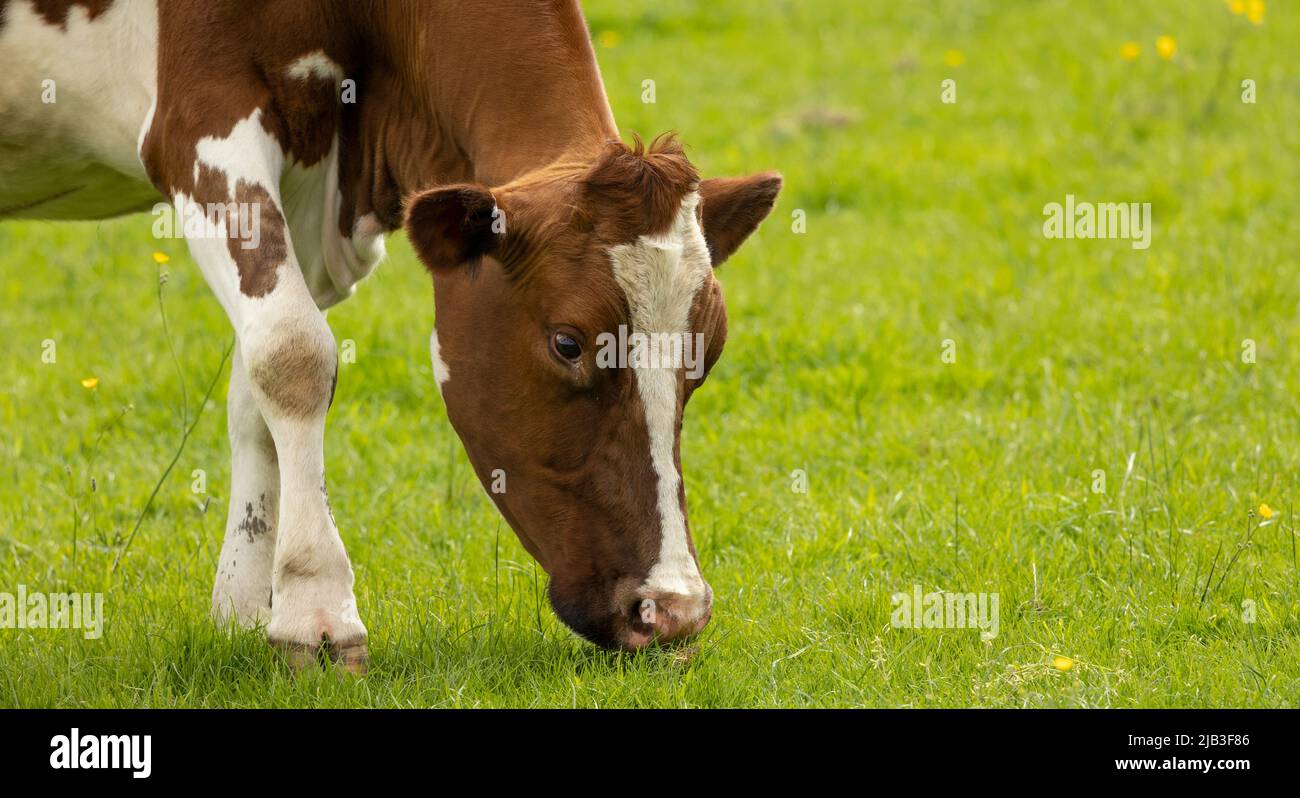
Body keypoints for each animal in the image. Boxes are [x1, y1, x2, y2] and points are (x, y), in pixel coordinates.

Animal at [0, 0, 781, 671]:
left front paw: (247, 606)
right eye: (568, 343)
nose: (673, 611)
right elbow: (293, 352)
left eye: (709, 352)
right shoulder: (200, 119)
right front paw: (316, 612)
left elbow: (254, 385)